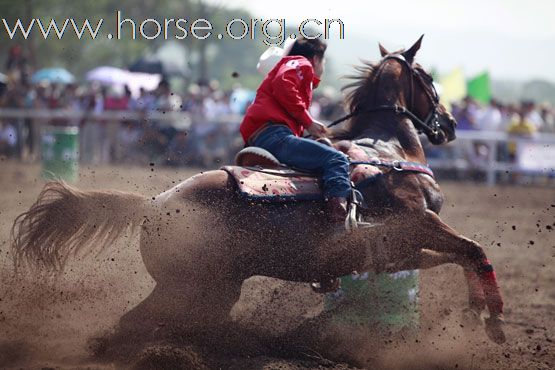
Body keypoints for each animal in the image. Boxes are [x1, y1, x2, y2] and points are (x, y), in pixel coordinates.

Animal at [10, 34, 506, 350]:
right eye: (427, 76)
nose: (450, 124)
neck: (388, 150)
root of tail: (153, 204)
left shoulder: (396, 249)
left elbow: (457, 258)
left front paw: (473, 314)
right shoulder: (419, 221)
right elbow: (474, 249)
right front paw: (496, 319)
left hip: (210, 289)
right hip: (190, 287)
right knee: (133, 324)